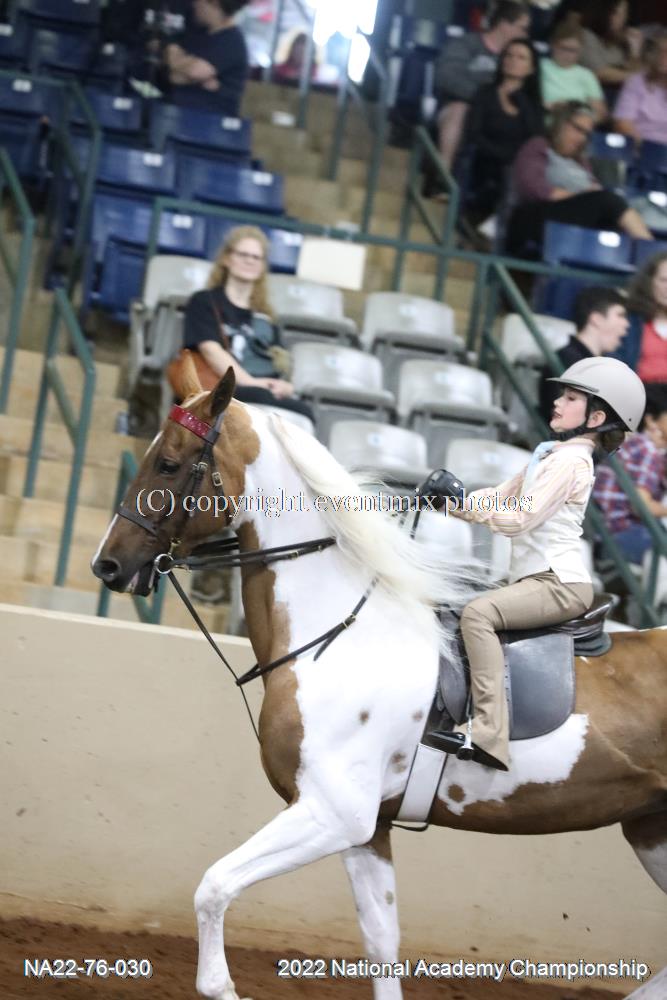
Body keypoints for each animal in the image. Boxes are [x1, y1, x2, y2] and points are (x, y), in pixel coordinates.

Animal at [92, 361, 667, 1000]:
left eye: (169, 463)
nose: (107, 565)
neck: (334, 633)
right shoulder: (367, 829)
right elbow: (381, 942)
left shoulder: (333, 814)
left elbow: (213, 887)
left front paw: (219, 982)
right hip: (651, 829)